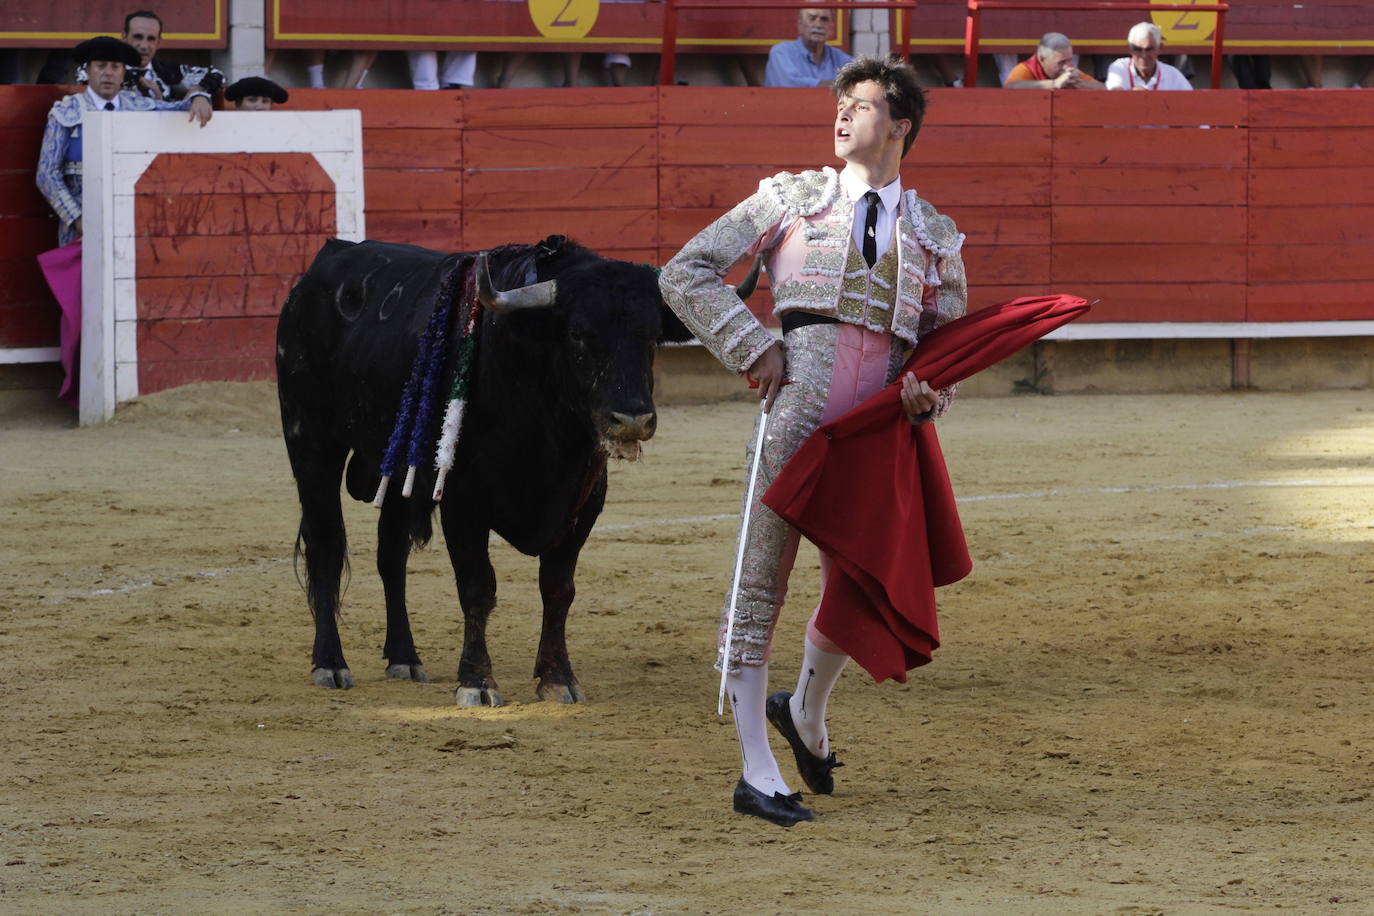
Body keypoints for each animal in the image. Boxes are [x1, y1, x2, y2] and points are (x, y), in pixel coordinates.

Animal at [276, 234, 741, 703]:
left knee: (391, 555)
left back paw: (404, 658)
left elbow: (558, 588)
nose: (631, 420)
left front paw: (558, 678)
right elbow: (477, 587)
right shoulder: (462, 501)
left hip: (397, 466)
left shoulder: (585, 503)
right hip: (311, 443)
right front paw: (476, 681)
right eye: (578, 335)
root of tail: (327, 258)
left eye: (651, 337)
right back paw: (331, 663)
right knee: (326, 546)